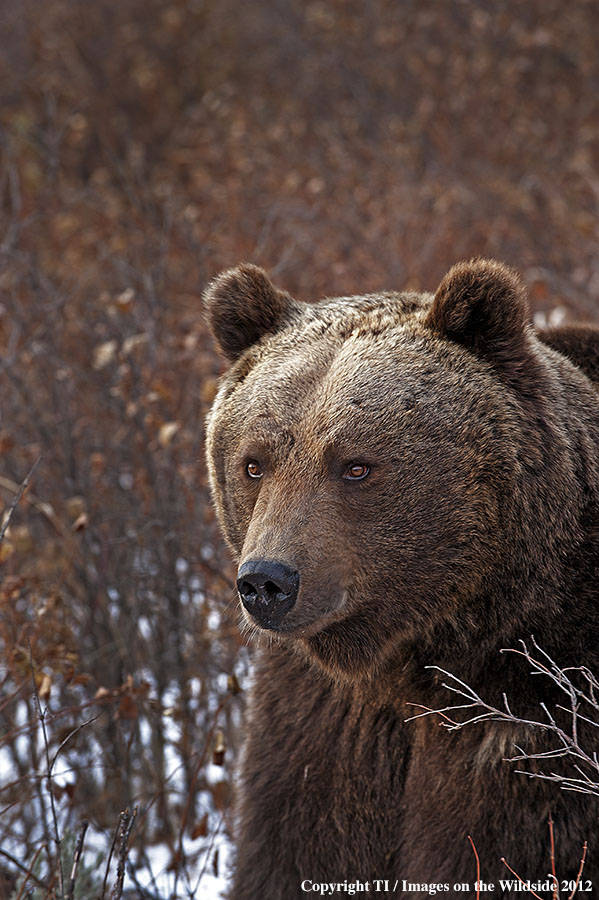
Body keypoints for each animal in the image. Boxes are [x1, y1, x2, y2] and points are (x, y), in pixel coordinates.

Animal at [204, 262, 599, 900]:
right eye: (254, 463)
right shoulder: (326, 724)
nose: (267, 581)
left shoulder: (538, 712)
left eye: (356, 466)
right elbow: (296, 846)